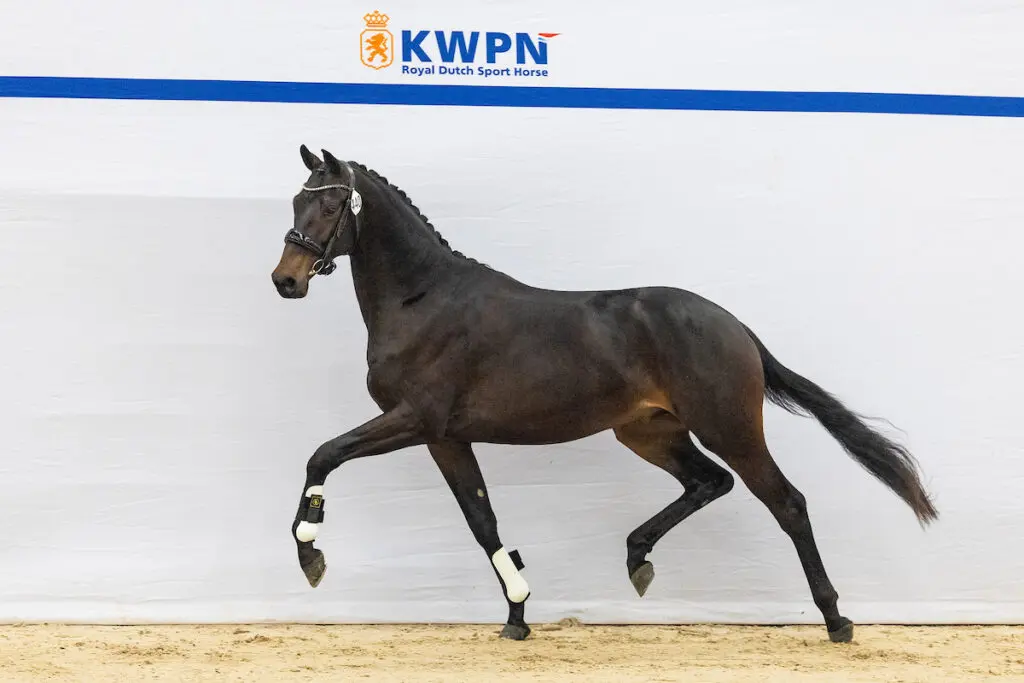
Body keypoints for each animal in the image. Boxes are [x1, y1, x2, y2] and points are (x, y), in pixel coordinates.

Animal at [271, 145, 937, 643]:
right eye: (298, 199)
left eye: (330, 203)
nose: (286, 280)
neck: (424, 300)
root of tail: (734, 327)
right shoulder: (446, 437)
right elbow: (482, 521)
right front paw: (517, 613)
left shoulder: (414, 420)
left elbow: (322, 455)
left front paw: (310, 555)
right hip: (648, 431)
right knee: (708, 482)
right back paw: (638, 557)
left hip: (729, 428)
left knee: (786, 502)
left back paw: (836, 619)